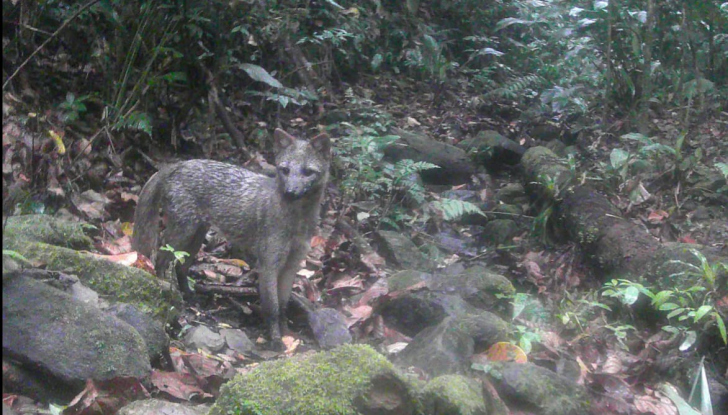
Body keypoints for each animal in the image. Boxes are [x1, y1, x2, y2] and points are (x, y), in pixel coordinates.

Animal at [132, 128, 332, 350]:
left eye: (307, 172)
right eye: (285, 170)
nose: (290, 192)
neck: (297, 222)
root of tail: (178, 164)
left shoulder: (292, 265)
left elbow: (283, 305)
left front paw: (287, 333)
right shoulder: (269, 264)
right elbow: (272, 307)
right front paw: (276, 340)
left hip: (195, 237)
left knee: (180, 267)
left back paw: (188, 295)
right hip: (182, 234)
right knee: (160, 258)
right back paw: (165, 289)